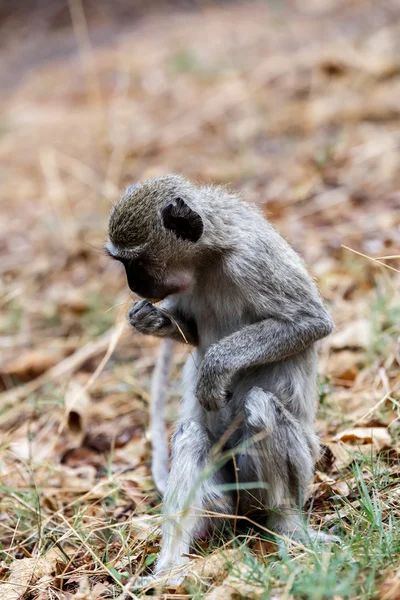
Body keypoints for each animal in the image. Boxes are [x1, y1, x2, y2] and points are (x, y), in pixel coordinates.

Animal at [107, 176, 338, 584]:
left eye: (135, 262)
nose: (134, 287)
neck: (209, 255)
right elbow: (192, 333)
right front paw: (148, 319)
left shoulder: (254, 261)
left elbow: (311, 322)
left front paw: (215, 368)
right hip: (219, 498)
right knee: (191, 436)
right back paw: (170, 564)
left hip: (300, 466)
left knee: (261, 406)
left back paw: (286, 523)